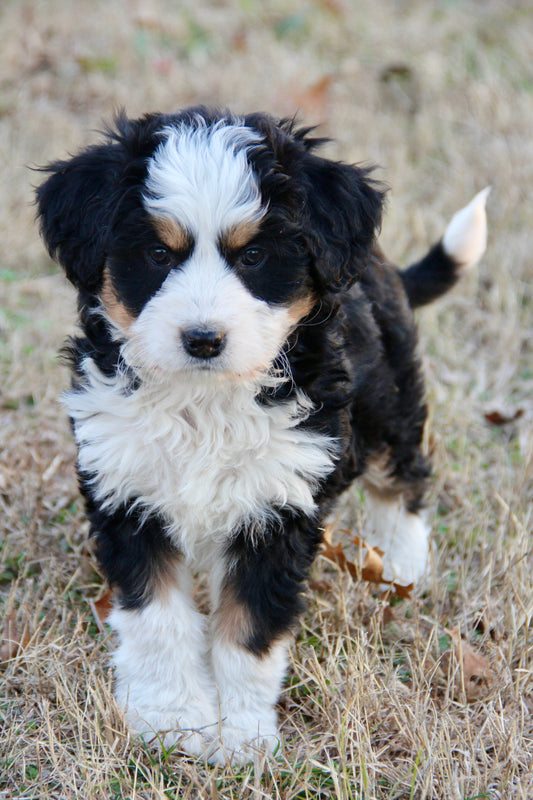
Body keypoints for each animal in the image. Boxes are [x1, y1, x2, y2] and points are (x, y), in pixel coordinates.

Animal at [35, 106, 488, 764]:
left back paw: (401, 566)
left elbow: (248, 630)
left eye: (252, 258)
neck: (203, 401)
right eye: (156, 253)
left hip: (390, 399)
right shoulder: (128, 493)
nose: (202, 339)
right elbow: (159, 620)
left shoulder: (278, 507)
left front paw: (243, 736)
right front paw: (175, 720)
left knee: (402, 477)